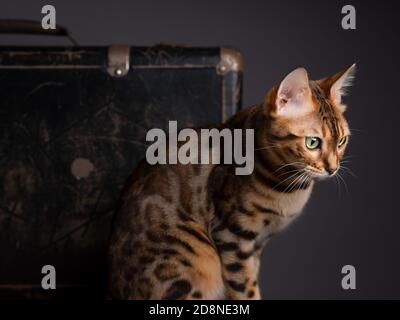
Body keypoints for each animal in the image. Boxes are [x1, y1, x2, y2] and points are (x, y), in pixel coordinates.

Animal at [108, 64, 354, 300]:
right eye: (312, 142)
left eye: (341, 141)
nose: (333, 169)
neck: (287, 185)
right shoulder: (232, 236)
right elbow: (245, 289)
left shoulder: (256, 246)